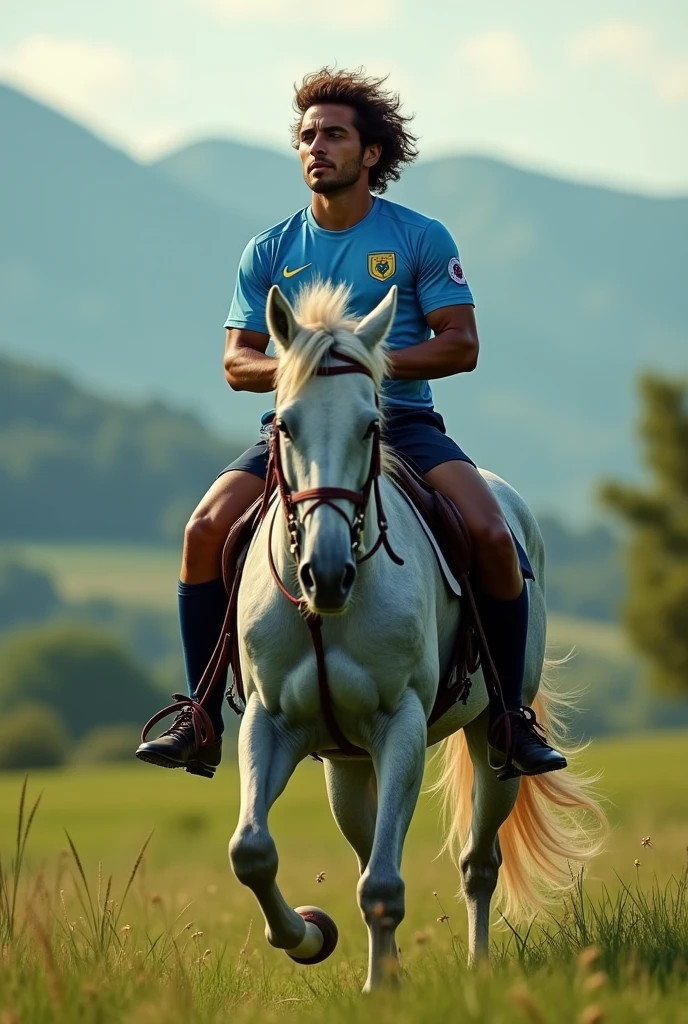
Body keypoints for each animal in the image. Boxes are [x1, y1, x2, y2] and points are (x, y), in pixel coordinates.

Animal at [227, 280, 602, 991]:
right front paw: (309, 936)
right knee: (368, 843)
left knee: (478, 863)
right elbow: (252, 851)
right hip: (345, 764)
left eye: (370, 424)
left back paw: (478, 969)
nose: (326, 574)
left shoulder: (398, 723)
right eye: (285, 423)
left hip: (493, 742)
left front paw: (380, 989)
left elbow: (383, 883)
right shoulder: (271, 721)